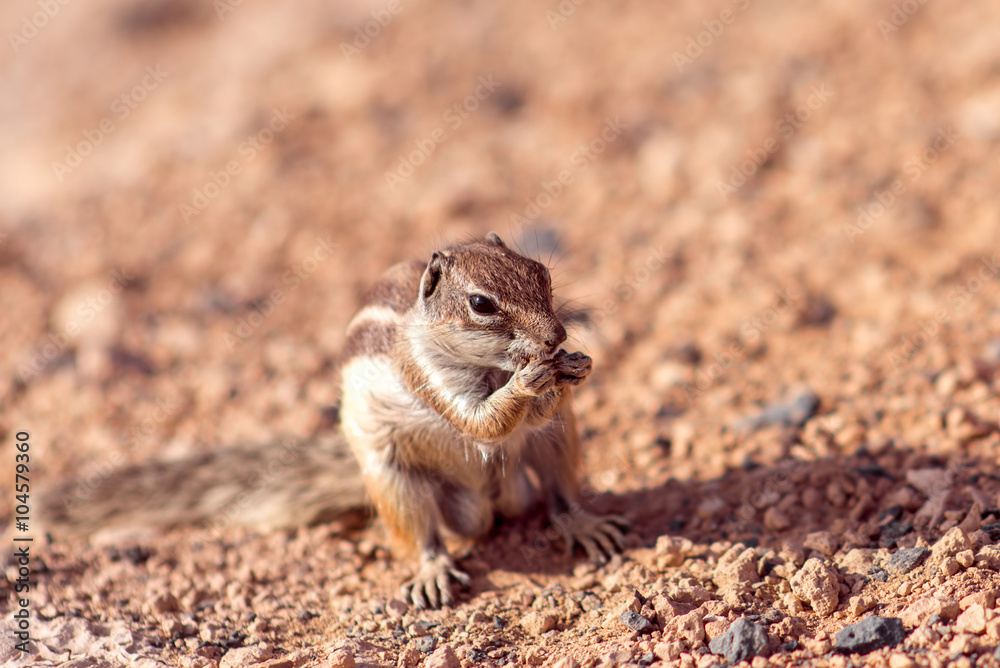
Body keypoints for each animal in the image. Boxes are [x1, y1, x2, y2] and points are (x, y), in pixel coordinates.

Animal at [45, 235, 632, 612]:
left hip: (556, 445)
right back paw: (432, 572)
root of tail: (492, 501)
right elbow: (480, 421)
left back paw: (585, 524)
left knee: (558, 492)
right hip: (397, 484)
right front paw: (533, 379)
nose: (556, 337)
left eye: (543, 275)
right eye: (481, 304)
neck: (488, 367)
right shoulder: (425, 375)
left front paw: (576, 366)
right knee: (420, 535)